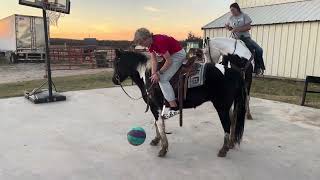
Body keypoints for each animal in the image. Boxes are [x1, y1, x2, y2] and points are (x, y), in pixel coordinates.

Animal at [112, 48, 248, 158]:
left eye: (116, 63)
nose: (114, 80)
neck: (148, 75)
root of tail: (234, 72)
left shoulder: (155, 106)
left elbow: (159, 124)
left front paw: (163, 148)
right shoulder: (155, 107)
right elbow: (157, 123)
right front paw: (156, 140)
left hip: (221, 107)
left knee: (227, 124)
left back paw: (224, 149)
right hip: (228, 106)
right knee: (233, 120)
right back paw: (230, 144)